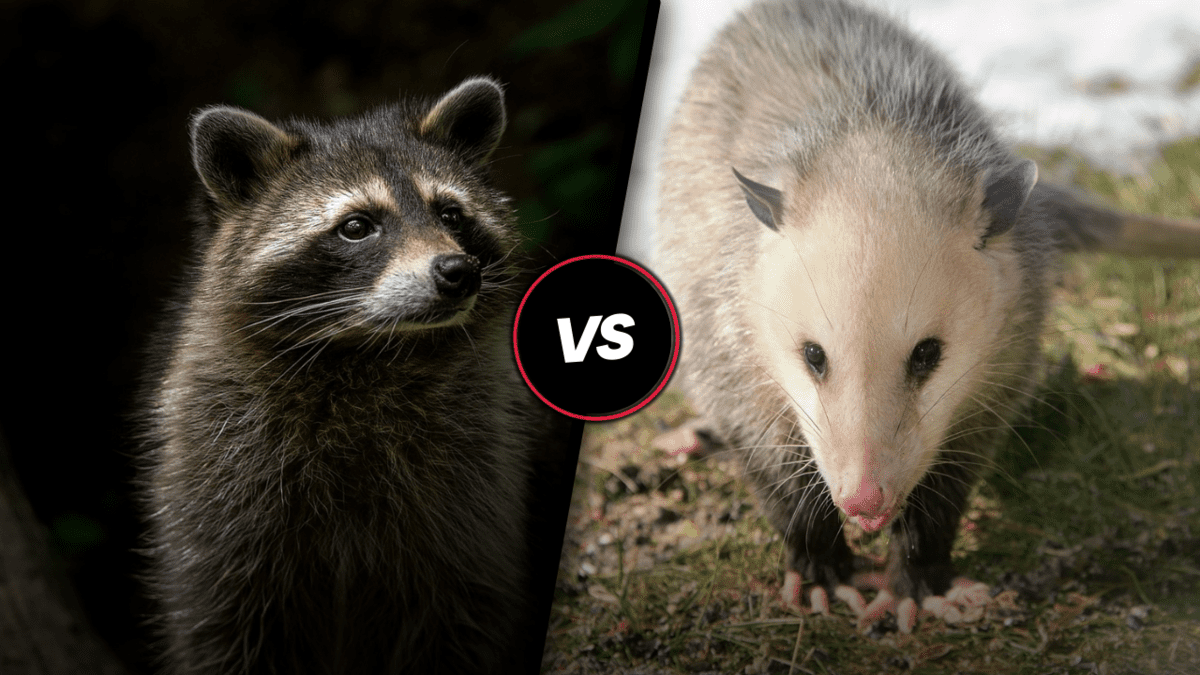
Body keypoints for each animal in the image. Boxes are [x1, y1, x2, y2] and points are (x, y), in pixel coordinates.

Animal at [141, 77, 546, 674]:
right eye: (357, 227)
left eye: (450, 214)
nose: (459, 272)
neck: (369, 352)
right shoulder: (219, 475)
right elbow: (223, 622)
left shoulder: (475, 484)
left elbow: (464, 610)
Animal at [657, 0, 1200, 631]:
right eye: (813, 356)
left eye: (927, 355)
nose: (865, 502)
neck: (870, 138)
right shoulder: (724, 340)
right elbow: (770, 461)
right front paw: (821, 571)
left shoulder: (1000, 369)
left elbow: (949, 480)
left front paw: (915, 582)